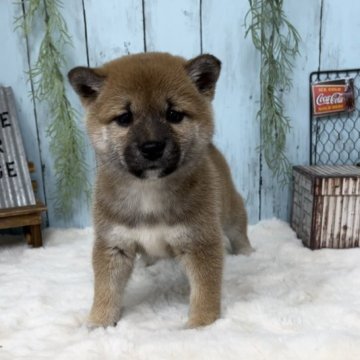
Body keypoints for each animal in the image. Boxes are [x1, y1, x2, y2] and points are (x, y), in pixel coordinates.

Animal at [68, 52, 253, 328]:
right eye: (124, 118)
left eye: (174, 114)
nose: (152, 147)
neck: (149, 191)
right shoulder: (113, 243)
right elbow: (106, 290)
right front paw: (99, 322)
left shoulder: (200, 241)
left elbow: (205, 291)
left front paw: (201, 325)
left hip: (230, 209)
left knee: (239, 231)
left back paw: (247, 253)